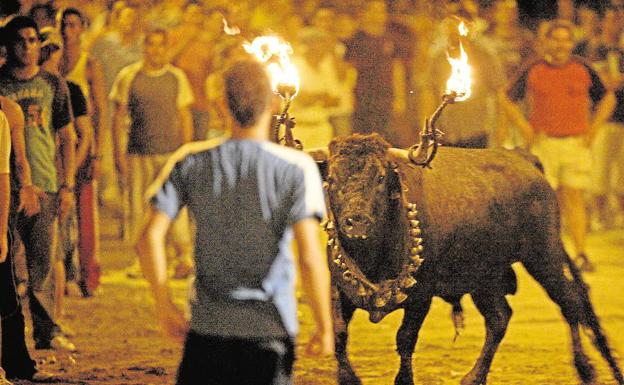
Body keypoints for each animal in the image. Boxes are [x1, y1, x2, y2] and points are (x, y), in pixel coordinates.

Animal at [308, 134, 624, 384]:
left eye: (381, 178)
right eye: (331, 180)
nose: (356, 222)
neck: (373, 255)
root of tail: (523, 158)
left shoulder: (422, 295)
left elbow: (405, 339)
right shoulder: (339, 289)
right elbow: (339, 333)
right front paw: (348, 378)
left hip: (543, 255)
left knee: (570, 301)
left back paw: (585, 369)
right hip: (485, 277)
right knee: (499, 317)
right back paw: (474, 377)